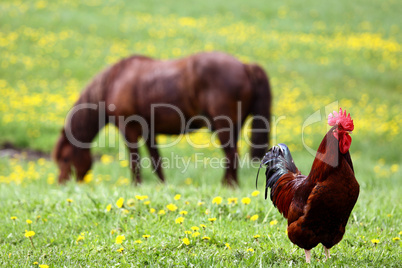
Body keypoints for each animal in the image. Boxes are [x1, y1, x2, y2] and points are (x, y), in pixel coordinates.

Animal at [53, 51, 272, 186]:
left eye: (65, 158)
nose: (62, 184)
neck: (114, 82)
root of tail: (245, 66)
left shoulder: (128, 128)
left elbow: (135, 161)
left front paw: (136, 186)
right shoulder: (148, 131)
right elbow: (155, 160)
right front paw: (161, 186)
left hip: (223, 126)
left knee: (232, 155)